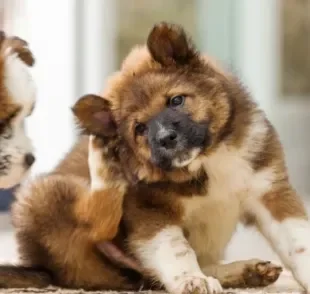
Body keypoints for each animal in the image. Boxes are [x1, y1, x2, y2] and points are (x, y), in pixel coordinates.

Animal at [0, 23, 308, 294]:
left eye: (176, 100)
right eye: (139, 128)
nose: (166, 138)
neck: (208, 162)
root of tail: (43, 268)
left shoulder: (269, 191)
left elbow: (298, 241)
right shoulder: (151, 211)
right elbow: (177, 249)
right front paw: (191, 280)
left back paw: (248, 271)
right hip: (45, 195)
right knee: (96, 226)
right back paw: (104, 164)